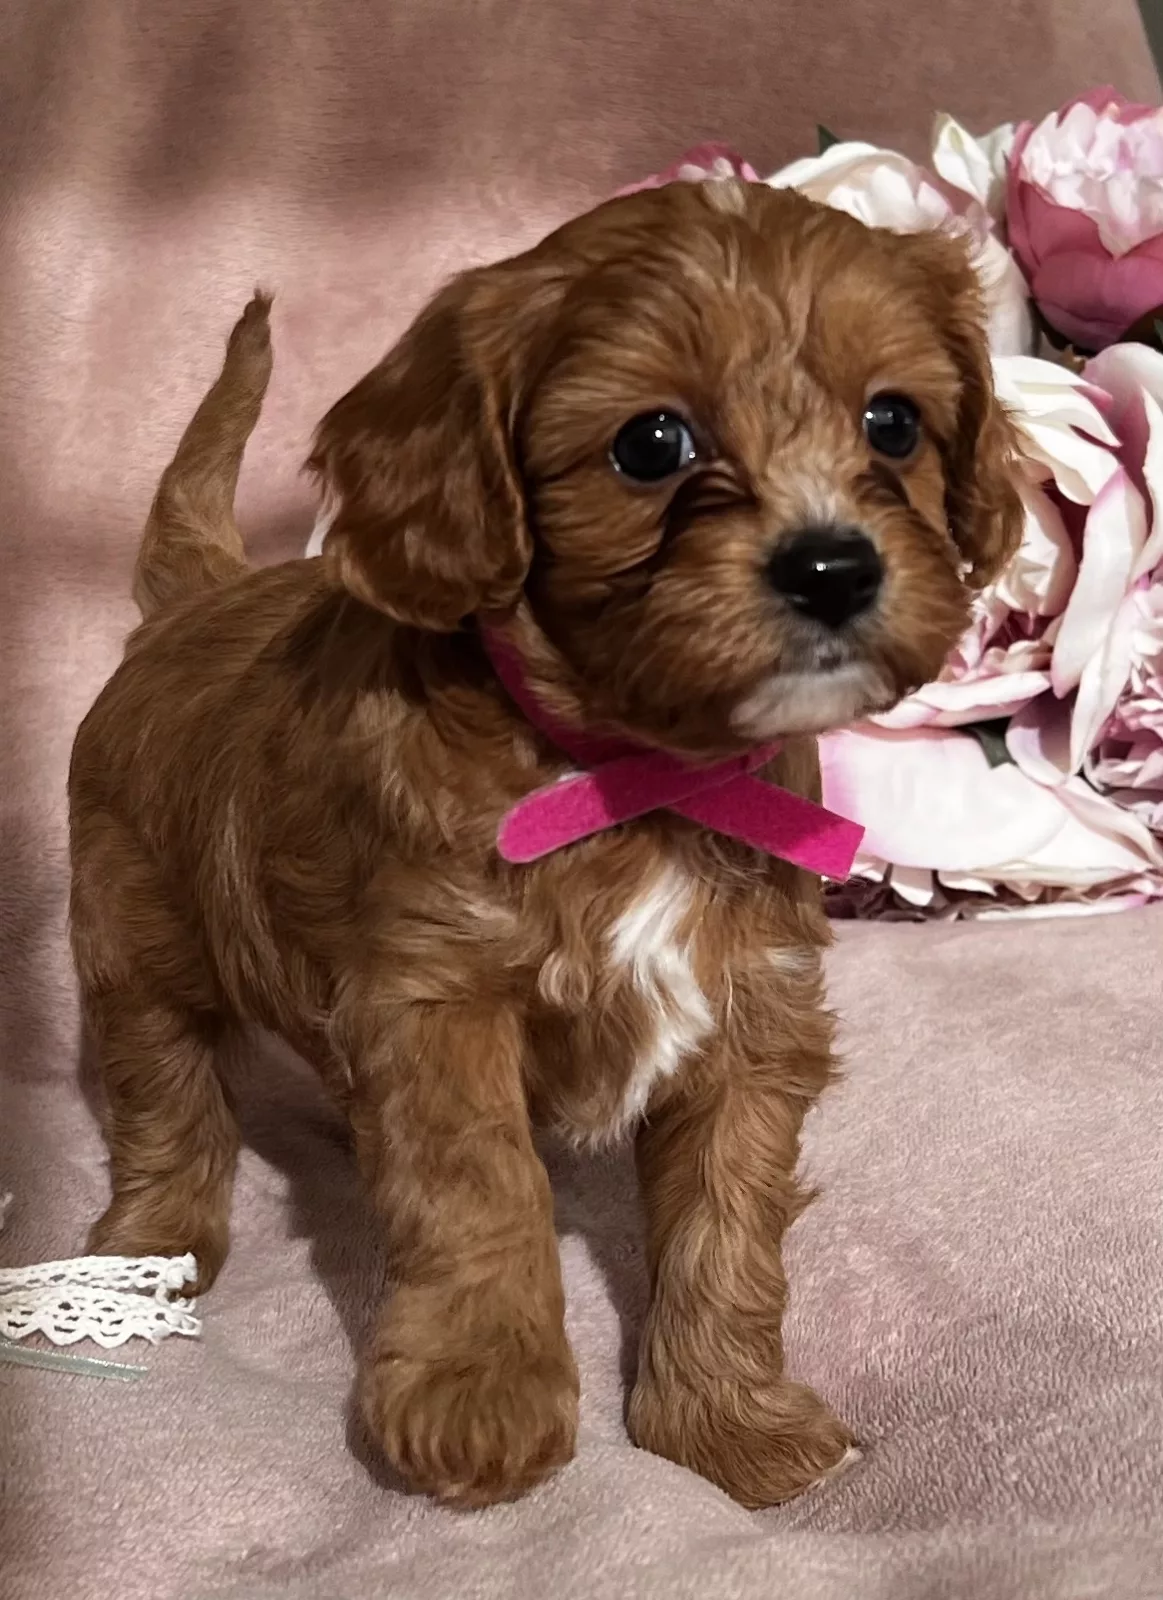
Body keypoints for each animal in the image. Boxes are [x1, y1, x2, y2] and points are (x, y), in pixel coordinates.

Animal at [68, 178, 1022, 1509]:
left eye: (892, 424)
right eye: (650, 444)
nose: (831, 565)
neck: (634, 778)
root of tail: (195, 596)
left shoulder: (751, 1016)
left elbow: (728, 1223)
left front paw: (723, 1418)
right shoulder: (435, 1002)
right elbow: (481, 1188)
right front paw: (480, 1396)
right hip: (132, 930)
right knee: (164, 1101)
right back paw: (145, 1250)